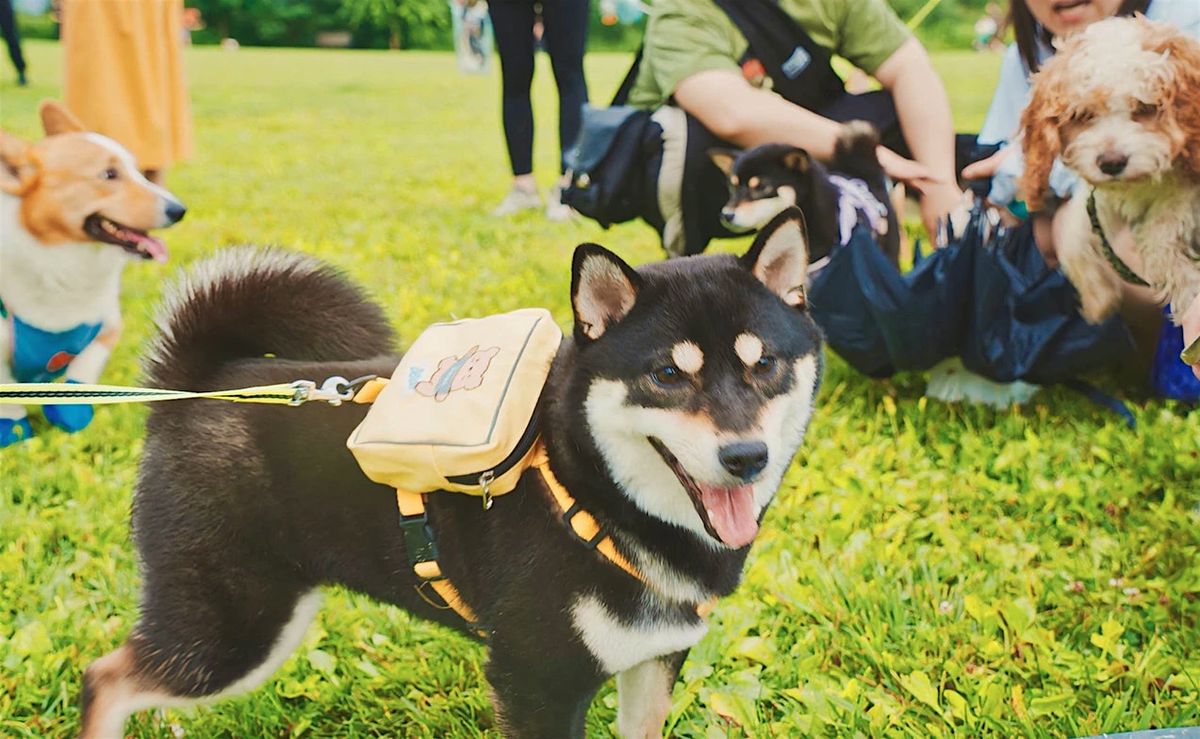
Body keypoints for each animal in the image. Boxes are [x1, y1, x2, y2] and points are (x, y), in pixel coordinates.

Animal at [0, 98, 184, 443]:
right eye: (109, 174)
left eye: (137, 171)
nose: (179, 210)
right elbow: (8, 399)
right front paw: (16, 432)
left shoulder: (107, 326)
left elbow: (82, 372)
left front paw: (70, 416)